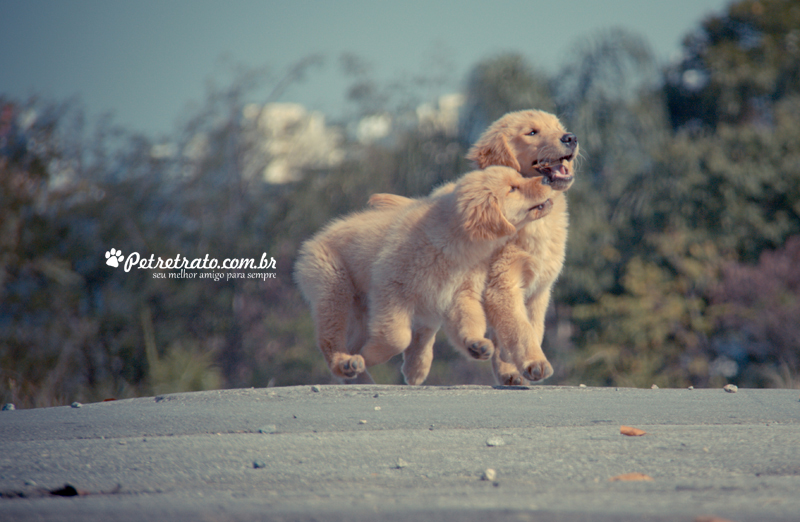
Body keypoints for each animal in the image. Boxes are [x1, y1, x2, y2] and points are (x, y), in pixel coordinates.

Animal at [368, 109, 576, 384]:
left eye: (558, 127)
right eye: (532, 132)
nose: (570, 137)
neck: (533, 227)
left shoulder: (539, 290)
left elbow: (531, 328)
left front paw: (515, 365)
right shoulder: (502, 284)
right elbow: (520, 329)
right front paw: (534, 362)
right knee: (425, 326)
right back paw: (416, 367)